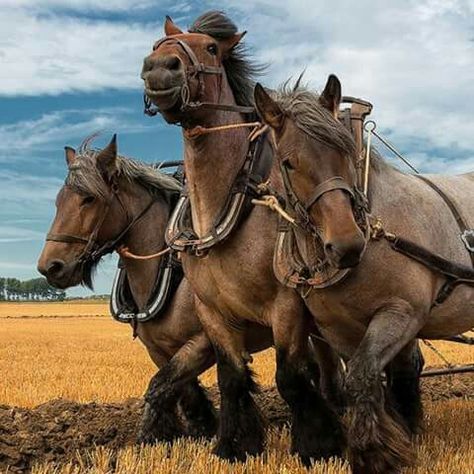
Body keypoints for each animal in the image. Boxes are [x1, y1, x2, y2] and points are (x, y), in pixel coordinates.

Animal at [36, 136, 272, 440]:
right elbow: (182, 393)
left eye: (89, 198)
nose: (50, 267)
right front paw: (194, 430)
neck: (169, 273)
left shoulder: (205, 341)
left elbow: (158, 387)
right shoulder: (158, 350)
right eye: (58, 200)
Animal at [141, 10, 344, 462]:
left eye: (211, 48)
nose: (159, 68)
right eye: (156, 46)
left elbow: (290, 377)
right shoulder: (214, 313)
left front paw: (317, 444)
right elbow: (232, 377)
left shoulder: (287, 306)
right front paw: (236, 444)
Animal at [256, 76, 474, 472]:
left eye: (345, 150)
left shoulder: (401, 313)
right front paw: (399, 435)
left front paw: (375, 453)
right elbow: (368, 380)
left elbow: (363, 375)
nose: (346, 245)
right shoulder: (337, 330)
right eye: (289, 163)